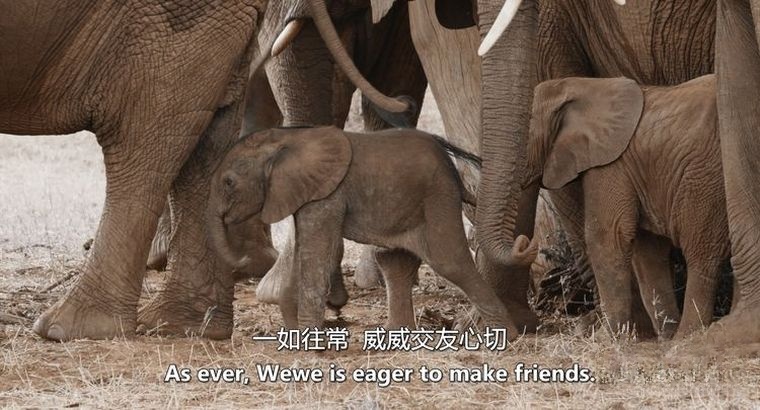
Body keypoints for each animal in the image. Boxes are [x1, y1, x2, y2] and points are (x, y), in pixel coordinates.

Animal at [207, 126, 533, 337]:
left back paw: (506, 337)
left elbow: (319, 254)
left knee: (449, 261)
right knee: (394, 258)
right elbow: (304, 248)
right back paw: (396, 335)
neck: (286, 138)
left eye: (228, 182)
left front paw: (308, 343)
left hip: (437, 195)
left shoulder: (328, 195)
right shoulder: (306, 194)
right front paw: (293, 335)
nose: (243, 260)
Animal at [526, 75, 728, 339]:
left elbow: (608, 236)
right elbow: (648, 250)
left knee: (701, 253)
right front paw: (663, 334)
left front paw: (609, 338)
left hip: (706, 178)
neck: (582, 86)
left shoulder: (610, 165)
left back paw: (686, 337)